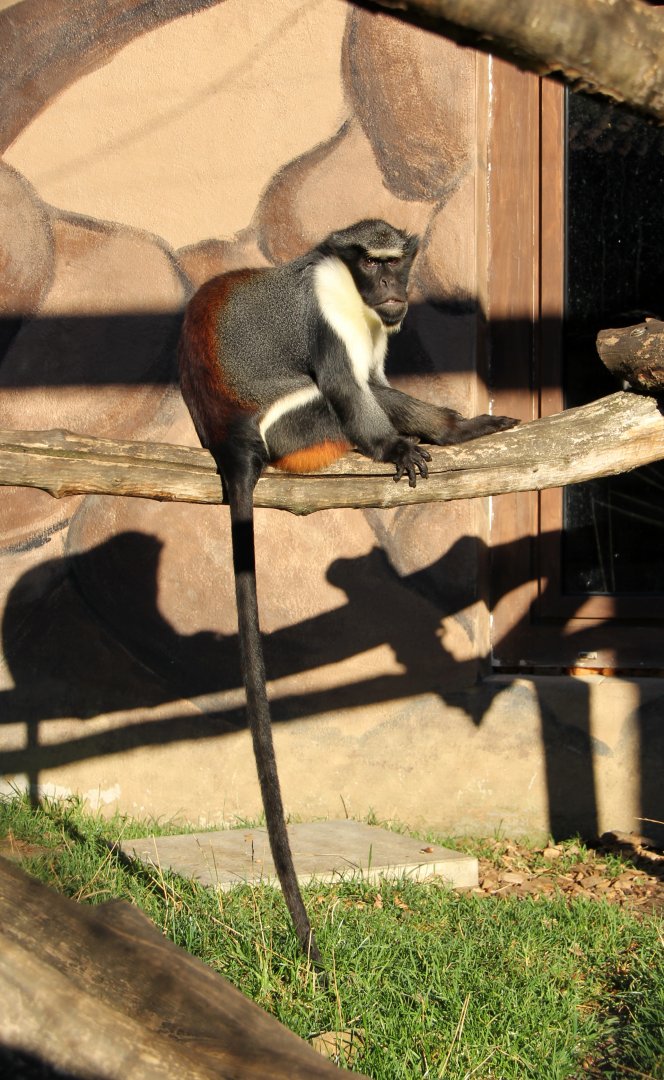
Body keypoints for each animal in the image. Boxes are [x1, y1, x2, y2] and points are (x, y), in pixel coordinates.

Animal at [178, 219, 518, 969]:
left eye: (399, 265)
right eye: (372, 265)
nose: (394, 292)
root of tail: (230, 439)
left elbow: (378, 381)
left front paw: (458, 428)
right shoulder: (330, 310)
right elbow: (350, 385)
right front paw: (396, 448)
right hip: (294, 428)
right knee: (339, 397)